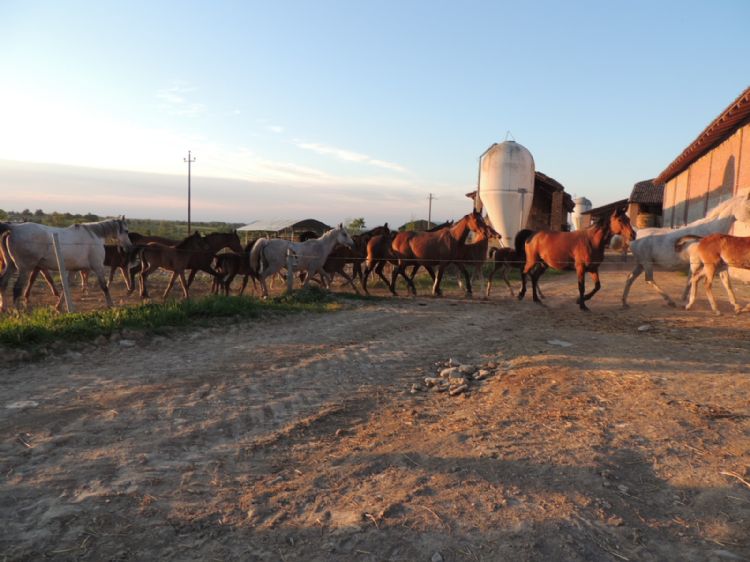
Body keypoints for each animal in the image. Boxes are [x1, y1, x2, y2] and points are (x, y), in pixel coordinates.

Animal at [0, 215, 133, 310]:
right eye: (126, 231)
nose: (129, 247)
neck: (93, 235)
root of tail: (14, 228)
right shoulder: (98, 267)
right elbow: (104, 286)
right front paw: (111, 305)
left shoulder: (73, 270)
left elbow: (66, 287)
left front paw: (59, 307)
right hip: (25, 269)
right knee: (16, 289)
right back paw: (18, 312)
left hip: (12, 266)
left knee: (3, 283)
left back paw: (4, 308)